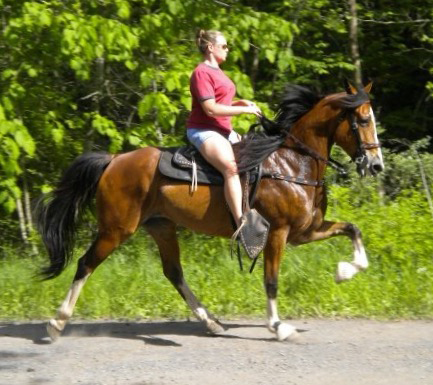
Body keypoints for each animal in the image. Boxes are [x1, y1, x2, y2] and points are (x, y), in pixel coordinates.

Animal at [37, 82, 382, 340]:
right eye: (363, 120)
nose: (376, 165)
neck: (292, 163)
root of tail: (113, 160)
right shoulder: (279, 232)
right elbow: (271, 280)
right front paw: (277, 326)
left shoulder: (306, 230)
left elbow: (353, 229)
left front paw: (345, 271)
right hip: (115, 230)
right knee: (85, 264)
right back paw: (56, 322)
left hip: (161, 226)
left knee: (174, 273)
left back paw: (212, 321)